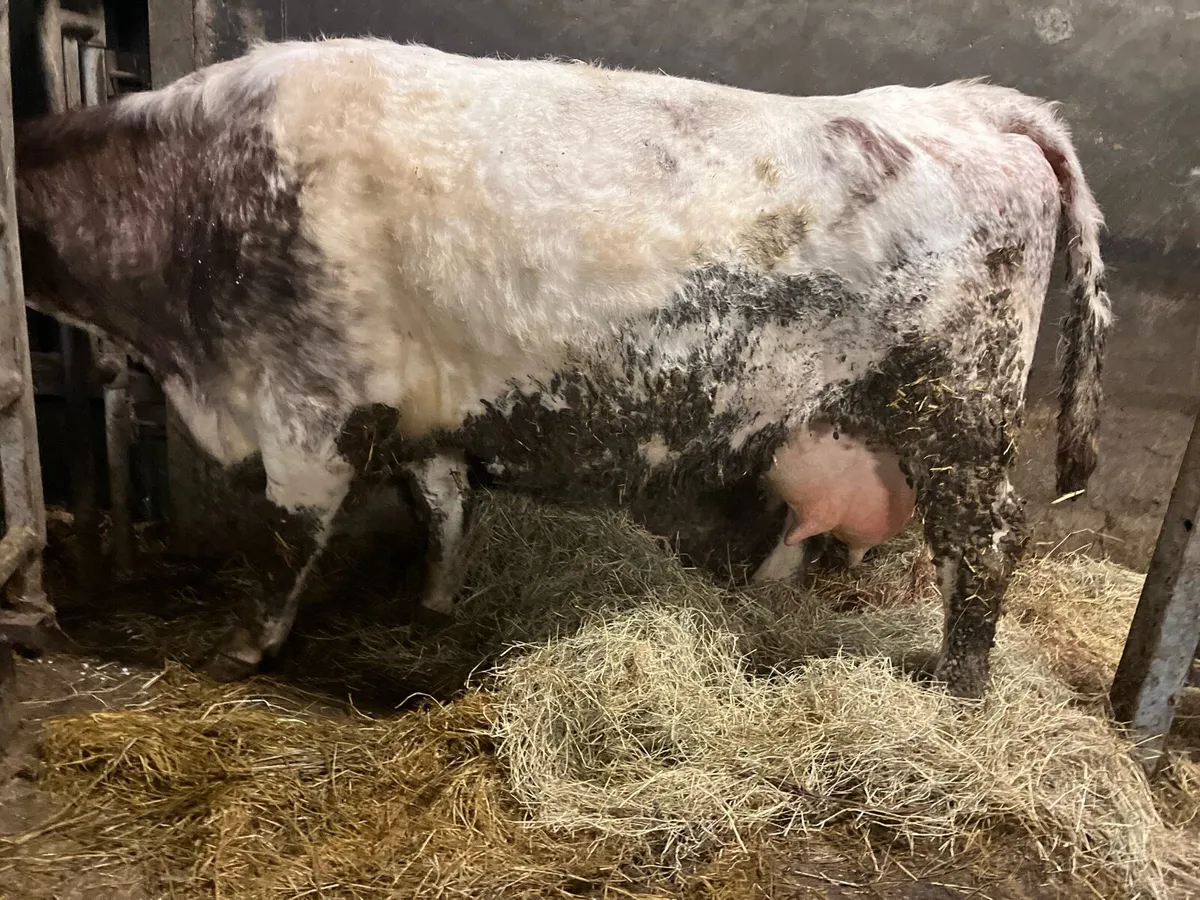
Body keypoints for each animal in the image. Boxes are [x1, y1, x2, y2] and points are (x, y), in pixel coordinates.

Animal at [14, 37, 1110, 699]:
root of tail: (973, 106)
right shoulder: (426, 410)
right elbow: (442, 512)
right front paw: (430, 609)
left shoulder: (305, 412)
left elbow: (285, 548)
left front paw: (241, 648)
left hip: (958, 412)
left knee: (985, 543)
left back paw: (958, 684)